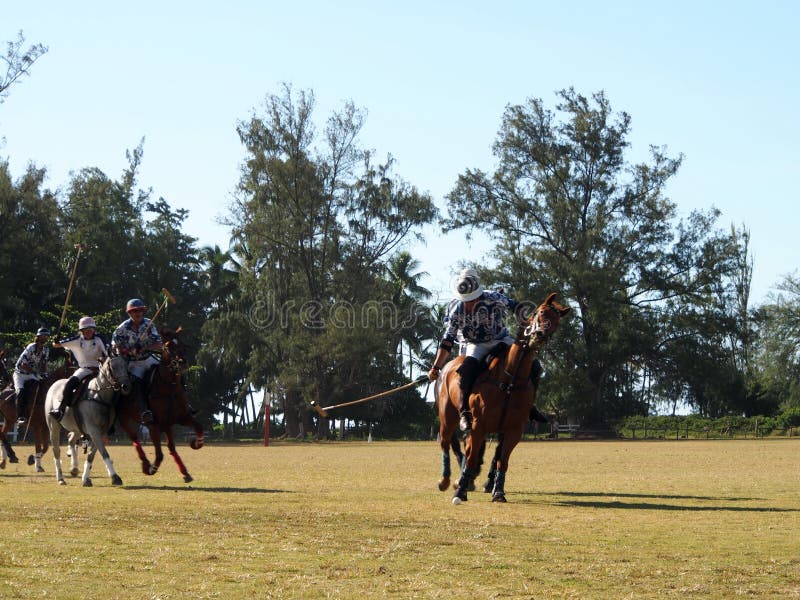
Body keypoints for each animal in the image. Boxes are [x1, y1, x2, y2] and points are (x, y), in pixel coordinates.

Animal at [44, 356, 132, 488]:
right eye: (113, 367)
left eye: (126, 366)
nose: (126, 386)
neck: (99, 396)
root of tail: (54, 385)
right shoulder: (94, 430)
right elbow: (104, 453)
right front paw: (115, 477)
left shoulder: (101, 432)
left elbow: (92, 455)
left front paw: (86, 479)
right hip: (53, 426)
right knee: (56, 450)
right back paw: (61, 478)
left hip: (76, 428)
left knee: (71, 440)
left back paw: (74, 468)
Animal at [434, 290, 572, 502]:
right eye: (540, 312)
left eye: (556, 322)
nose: (538, 336)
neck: (510, 379)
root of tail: (448, 366)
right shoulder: (478, 425)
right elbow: (472, 457)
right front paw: (461, 490)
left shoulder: (514, 429)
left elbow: (502, 460)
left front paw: (497, 491)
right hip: (447, 417)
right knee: (446, 442)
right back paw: (445, 480)